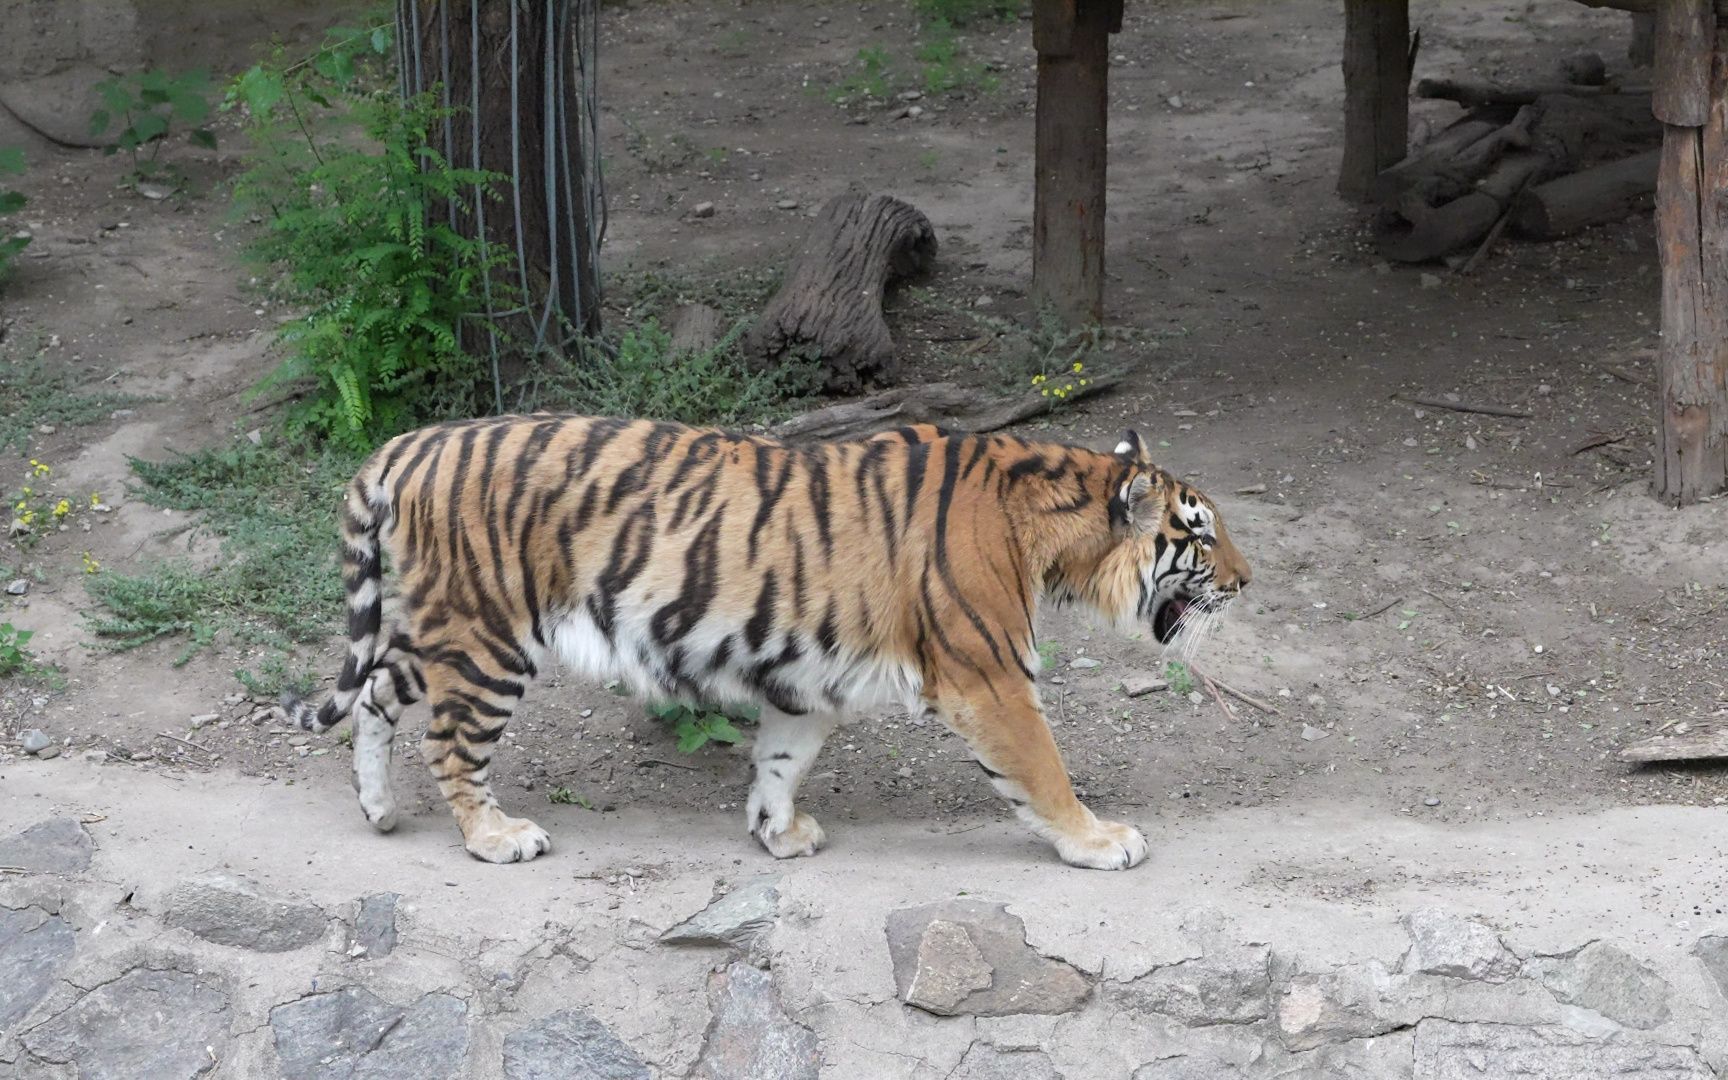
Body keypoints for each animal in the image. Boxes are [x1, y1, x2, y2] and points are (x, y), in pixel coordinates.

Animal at [282, 415, 1250, 870]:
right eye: (1199, 536)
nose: (1247, 582)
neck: (1052, 526)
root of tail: (411, 440)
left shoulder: (809, 674)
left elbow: (781, 760)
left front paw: (776, 833)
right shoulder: (991, 678)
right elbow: (1044, 774)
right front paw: (1099, 841)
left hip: (441, 628)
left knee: (375, 695)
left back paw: (379, 810)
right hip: (488, 637)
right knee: (452, 744)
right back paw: (495, 837)